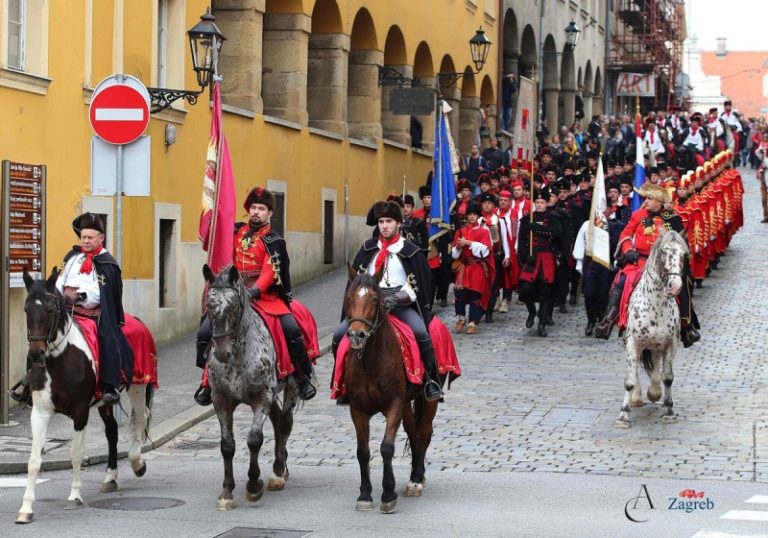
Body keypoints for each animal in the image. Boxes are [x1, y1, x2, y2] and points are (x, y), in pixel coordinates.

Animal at [202, 264, 298, 510]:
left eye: (233, 305)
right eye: (209, 305)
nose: (221, 352)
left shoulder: (262, 396)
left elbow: (254, 439)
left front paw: (254, 484)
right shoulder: (220, 399)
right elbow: (227, 445)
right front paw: (227, 492)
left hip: (291, 387)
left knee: (284, 423)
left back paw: (277, 472)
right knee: (278, 421)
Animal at [342, 266, 438, 512]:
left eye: (375, 299)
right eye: (349, 298)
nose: (356, 335)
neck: (371, 360)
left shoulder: (393, 403)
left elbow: (386, 447)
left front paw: (388, 494)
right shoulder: (357, 408)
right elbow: (363, 451)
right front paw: (365, 494)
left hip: (429, 400)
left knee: (424, 433)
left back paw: (416, 480)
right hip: (405, 403)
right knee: (414, 433)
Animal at [616, 230, 688, 428]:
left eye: (684, 254)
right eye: (664, 252)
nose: (675, 286)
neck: (655, 305)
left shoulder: (671, 343)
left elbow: (668, 377)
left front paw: (669, 410)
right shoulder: (632, 342)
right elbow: (630, 380)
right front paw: (624, 414)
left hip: (656, 345)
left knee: (656, 368)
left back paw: (655, 392)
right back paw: (637, 397)